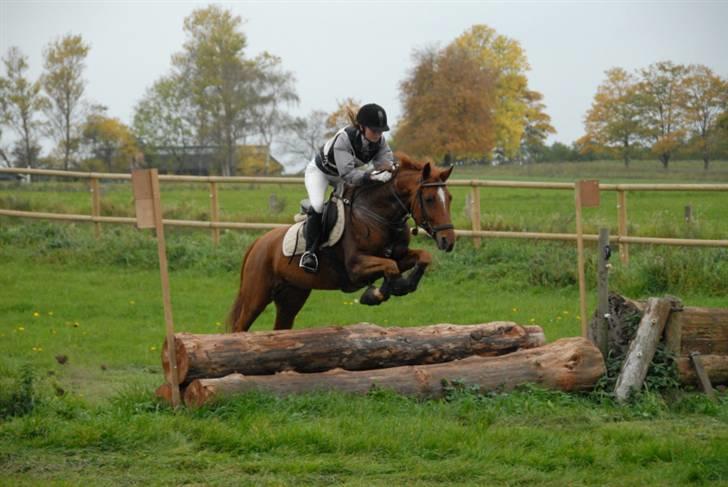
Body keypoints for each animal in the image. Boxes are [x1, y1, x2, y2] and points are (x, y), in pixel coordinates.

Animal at [228, 154, 456, 334]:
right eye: (429, 199)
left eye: (450, 198)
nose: (448, 240)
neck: (378, 215)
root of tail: (259, 242)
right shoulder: (355, 267)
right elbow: (390, 267)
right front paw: (378, 294)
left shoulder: (399, 256)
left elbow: (422, 257)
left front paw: (400, 286)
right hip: (257, 294)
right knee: (240, 326)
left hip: (292, 296)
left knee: (281, 327)